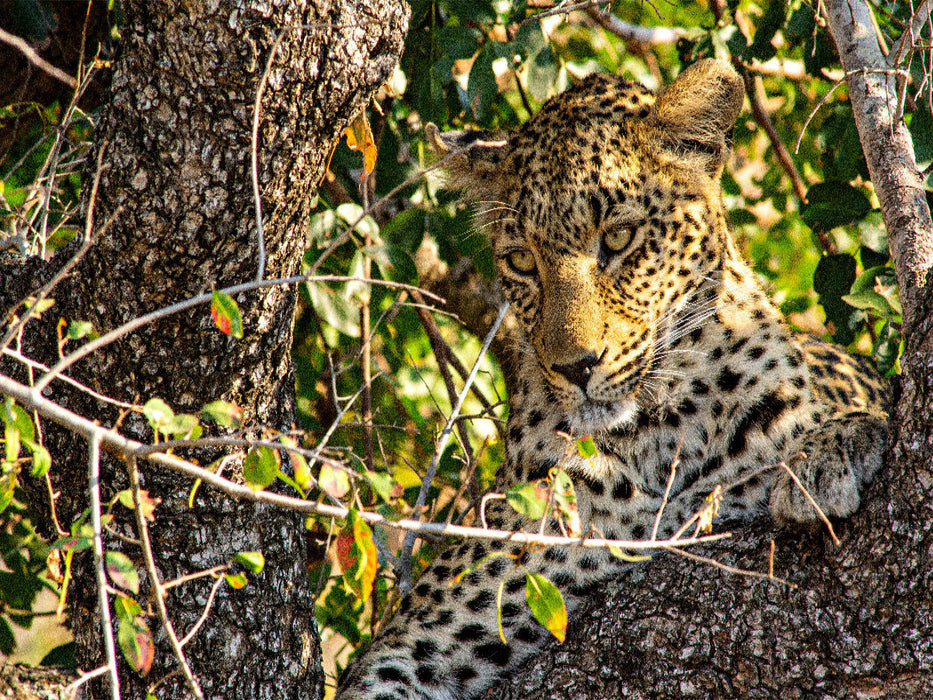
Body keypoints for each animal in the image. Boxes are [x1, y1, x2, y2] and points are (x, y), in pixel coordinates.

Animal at [334, 60, 880, 700]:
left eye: (618, 238)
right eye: (522, 260)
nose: (575, 365)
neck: (660, 432)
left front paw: (827, 453)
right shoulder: (419, 638)